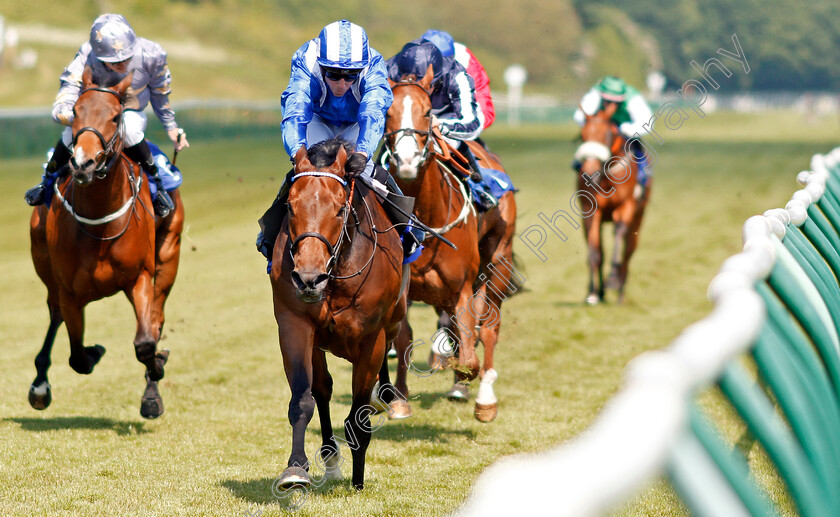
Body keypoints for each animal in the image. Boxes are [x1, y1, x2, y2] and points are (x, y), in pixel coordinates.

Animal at [28, 66, 184, 418]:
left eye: (115, 117)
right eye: (75, 111)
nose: (82, 163)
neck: (99, 223)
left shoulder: (140, 277)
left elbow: (145, 342)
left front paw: (156, 372)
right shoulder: (69, 291)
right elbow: (77, 356)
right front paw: (95, 351)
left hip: (168, 259)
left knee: (156, 320)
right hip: (44, 266)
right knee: (54, 314)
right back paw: (40, 383)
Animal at [272, 139, 406, 490]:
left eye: (339, 209)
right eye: (290, 206)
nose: (308, 278)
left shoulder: (371, 338)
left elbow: (358, 415)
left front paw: (358, 481)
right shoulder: (295, 324)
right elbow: (304, 398)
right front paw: (296, 468)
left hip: (395, 318)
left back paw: (389, 398)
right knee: (323, 389)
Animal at [382, 69, 520, 424]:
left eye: (428, 111)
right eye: (387, 111)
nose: (406, 159)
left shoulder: (462, 287)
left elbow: (471, 353)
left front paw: (464, 376)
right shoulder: (404, 290)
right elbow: (403, 337)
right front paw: (399, 399)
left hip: (498, 262)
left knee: (489, 328)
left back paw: (483, 398)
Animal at [576, 105, 652, 304]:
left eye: (606, 135)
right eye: (582, 135)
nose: (589, 174)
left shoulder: (625, 206)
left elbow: (619, 234)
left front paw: (613, 279)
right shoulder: (590, 210)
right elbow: (595, 252)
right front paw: (593, 292)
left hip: (638, 218)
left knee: (628, 251)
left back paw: (620, 290)